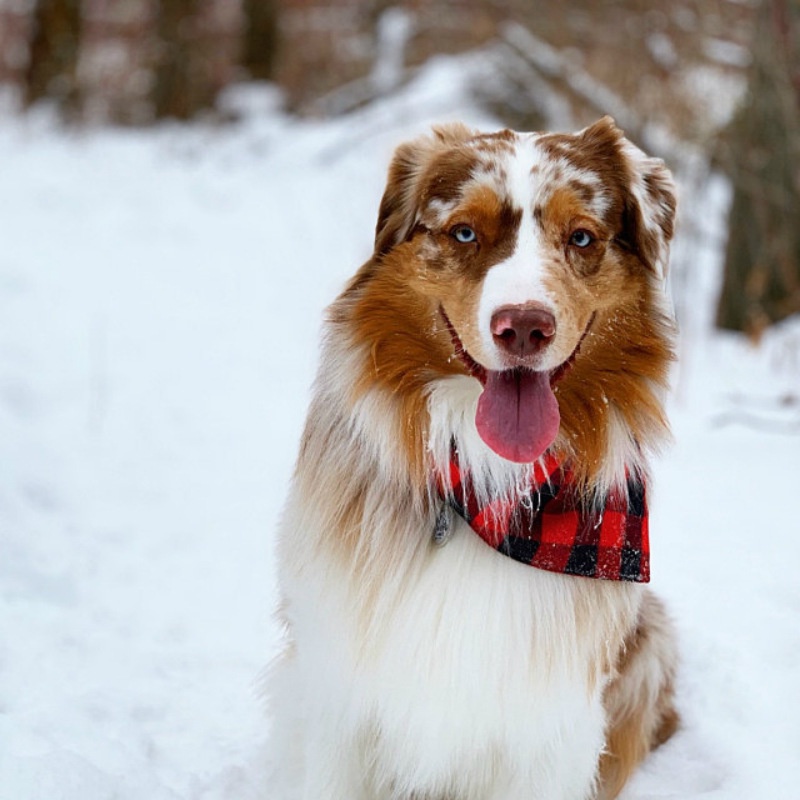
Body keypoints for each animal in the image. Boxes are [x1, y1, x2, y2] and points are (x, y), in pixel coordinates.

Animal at [270, 119, 680, 800]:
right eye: (464, 232)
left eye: (581, 237)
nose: (525, 327)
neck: (487, 488)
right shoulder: (341, 695)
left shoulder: (549, 733)